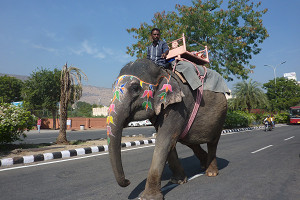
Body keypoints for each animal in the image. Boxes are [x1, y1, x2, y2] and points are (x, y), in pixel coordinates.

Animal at [108, 58, 227, 199]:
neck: (162, 72)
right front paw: (178, 181)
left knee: (212, 142)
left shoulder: (178, 106)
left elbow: (164, 140)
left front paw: (148, 197)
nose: (128, 181)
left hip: (220, 116)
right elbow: (168, 141)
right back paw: (204, 165)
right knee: (190, 142)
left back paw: (211, 173)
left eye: (135, 88)